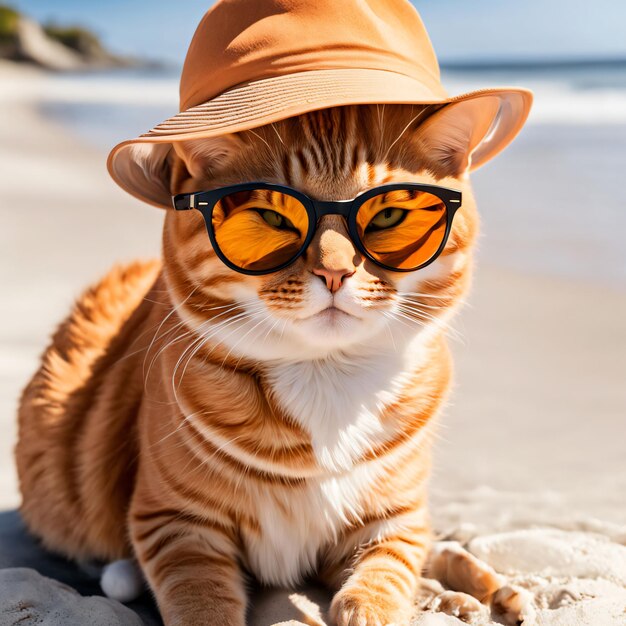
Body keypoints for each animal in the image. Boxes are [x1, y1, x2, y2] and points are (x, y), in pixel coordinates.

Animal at [17, 106, 510, 624]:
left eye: (388, 214)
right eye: (274, 217)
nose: (335, 272)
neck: (325, 376)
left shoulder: (394, 519)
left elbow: (389, 568)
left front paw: (379, 605)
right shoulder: (174, 523)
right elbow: (202, 603)